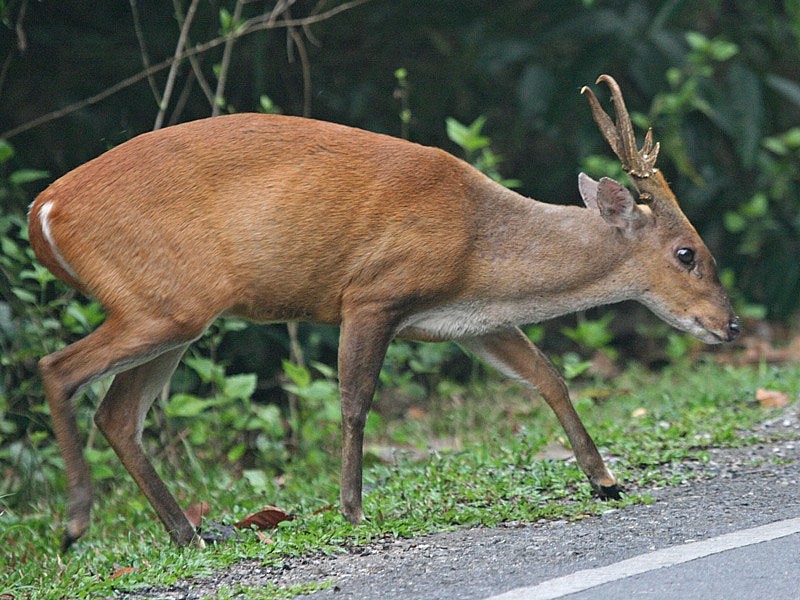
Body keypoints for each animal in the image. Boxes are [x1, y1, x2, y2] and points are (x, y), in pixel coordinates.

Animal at [28, 74, 740, 548]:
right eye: (687, 253)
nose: (729, 325)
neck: (479, 246)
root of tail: (44, 211)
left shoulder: (469, 321)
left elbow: (547, 375)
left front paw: (605, 480)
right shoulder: (370, 292)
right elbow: (355, 401)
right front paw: (351, 508)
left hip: (174, 310)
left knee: (118, 413)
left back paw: (189, 533)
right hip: (165, 302)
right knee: (57, 367)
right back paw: (75, 523)